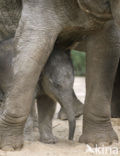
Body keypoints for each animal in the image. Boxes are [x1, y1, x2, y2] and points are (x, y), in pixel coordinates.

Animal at [0, 0, 120, 151]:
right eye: (55, 84)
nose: (70, 140)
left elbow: (105, 45)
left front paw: (101, 143)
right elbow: (33, 44)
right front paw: (11, 146)